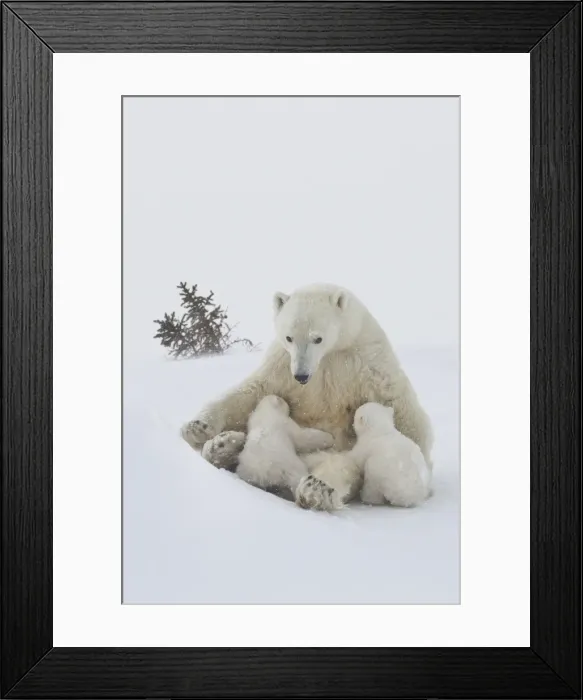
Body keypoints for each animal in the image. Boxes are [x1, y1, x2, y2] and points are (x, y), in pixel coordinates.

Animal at [181, 283, 433, 510]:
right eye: (289, 337)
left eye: (317, 338)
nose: (301, 375)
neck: (330, 354)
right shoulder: (282, 365)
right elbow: (252, 391)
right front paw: (197, 428)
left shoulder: (365, 362)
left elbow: (398, 406)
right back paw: (220, 446)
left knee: (338, 467)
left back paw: (316, 488)